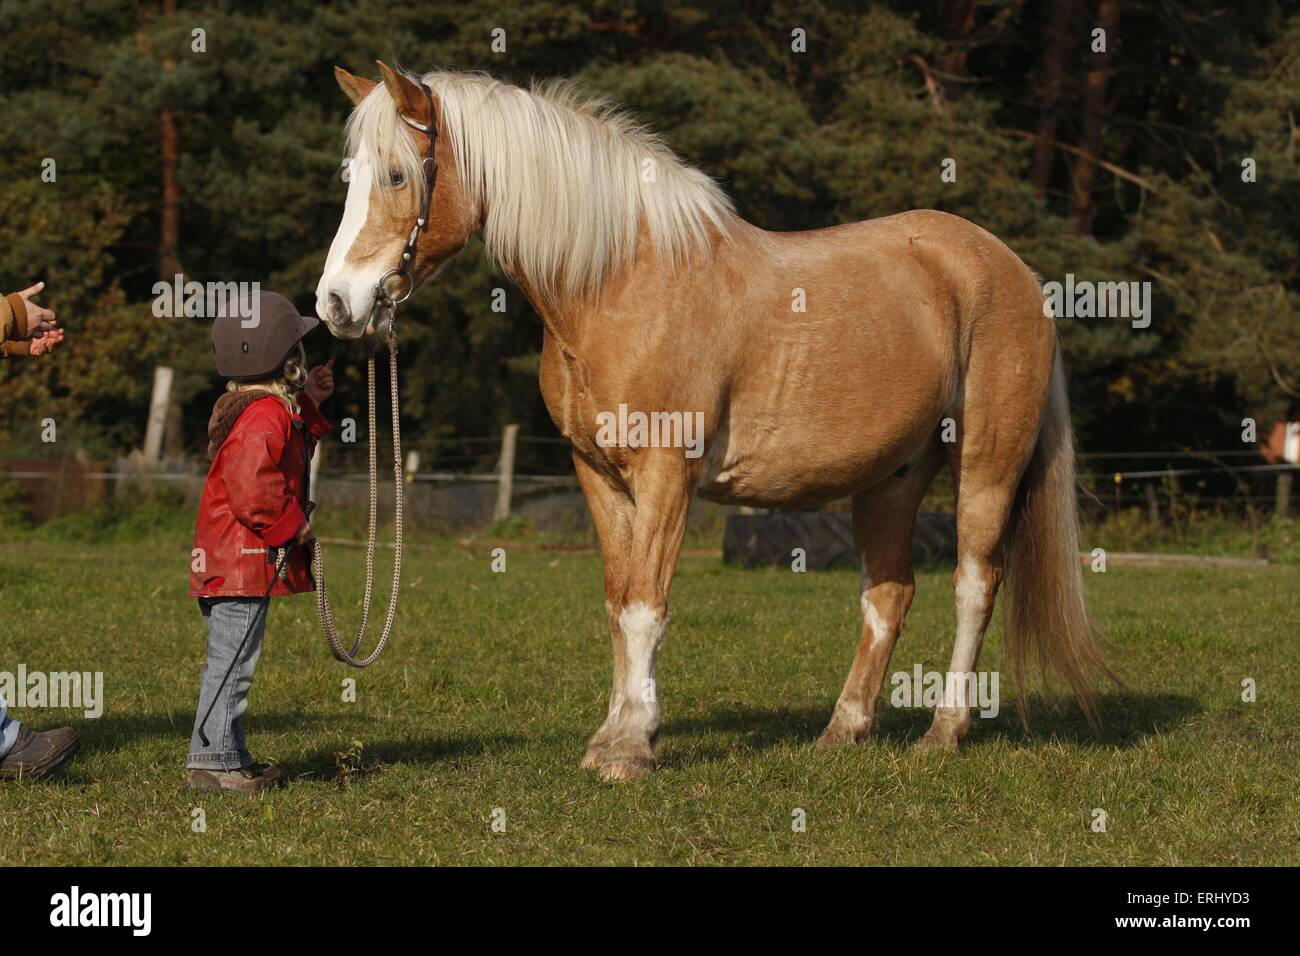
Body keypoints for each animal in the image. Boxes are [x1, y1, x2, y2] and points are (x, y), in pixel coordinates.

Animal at [314, 63, 1107, 780]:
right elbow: (618, 602)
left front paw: (630, 750)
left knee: (974, 584)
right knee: (888, 595)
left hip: (987, 467)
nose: (336, 303)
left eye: (396, 175)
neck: (619, 283)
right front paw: (615, 735)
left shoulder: (669, 474)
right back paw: (843, 730)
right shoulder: (597, 476)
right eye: (350, 177)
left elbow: (646, 605)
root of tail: (1010, 270)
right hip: (892, 478)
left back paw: (943, 732)